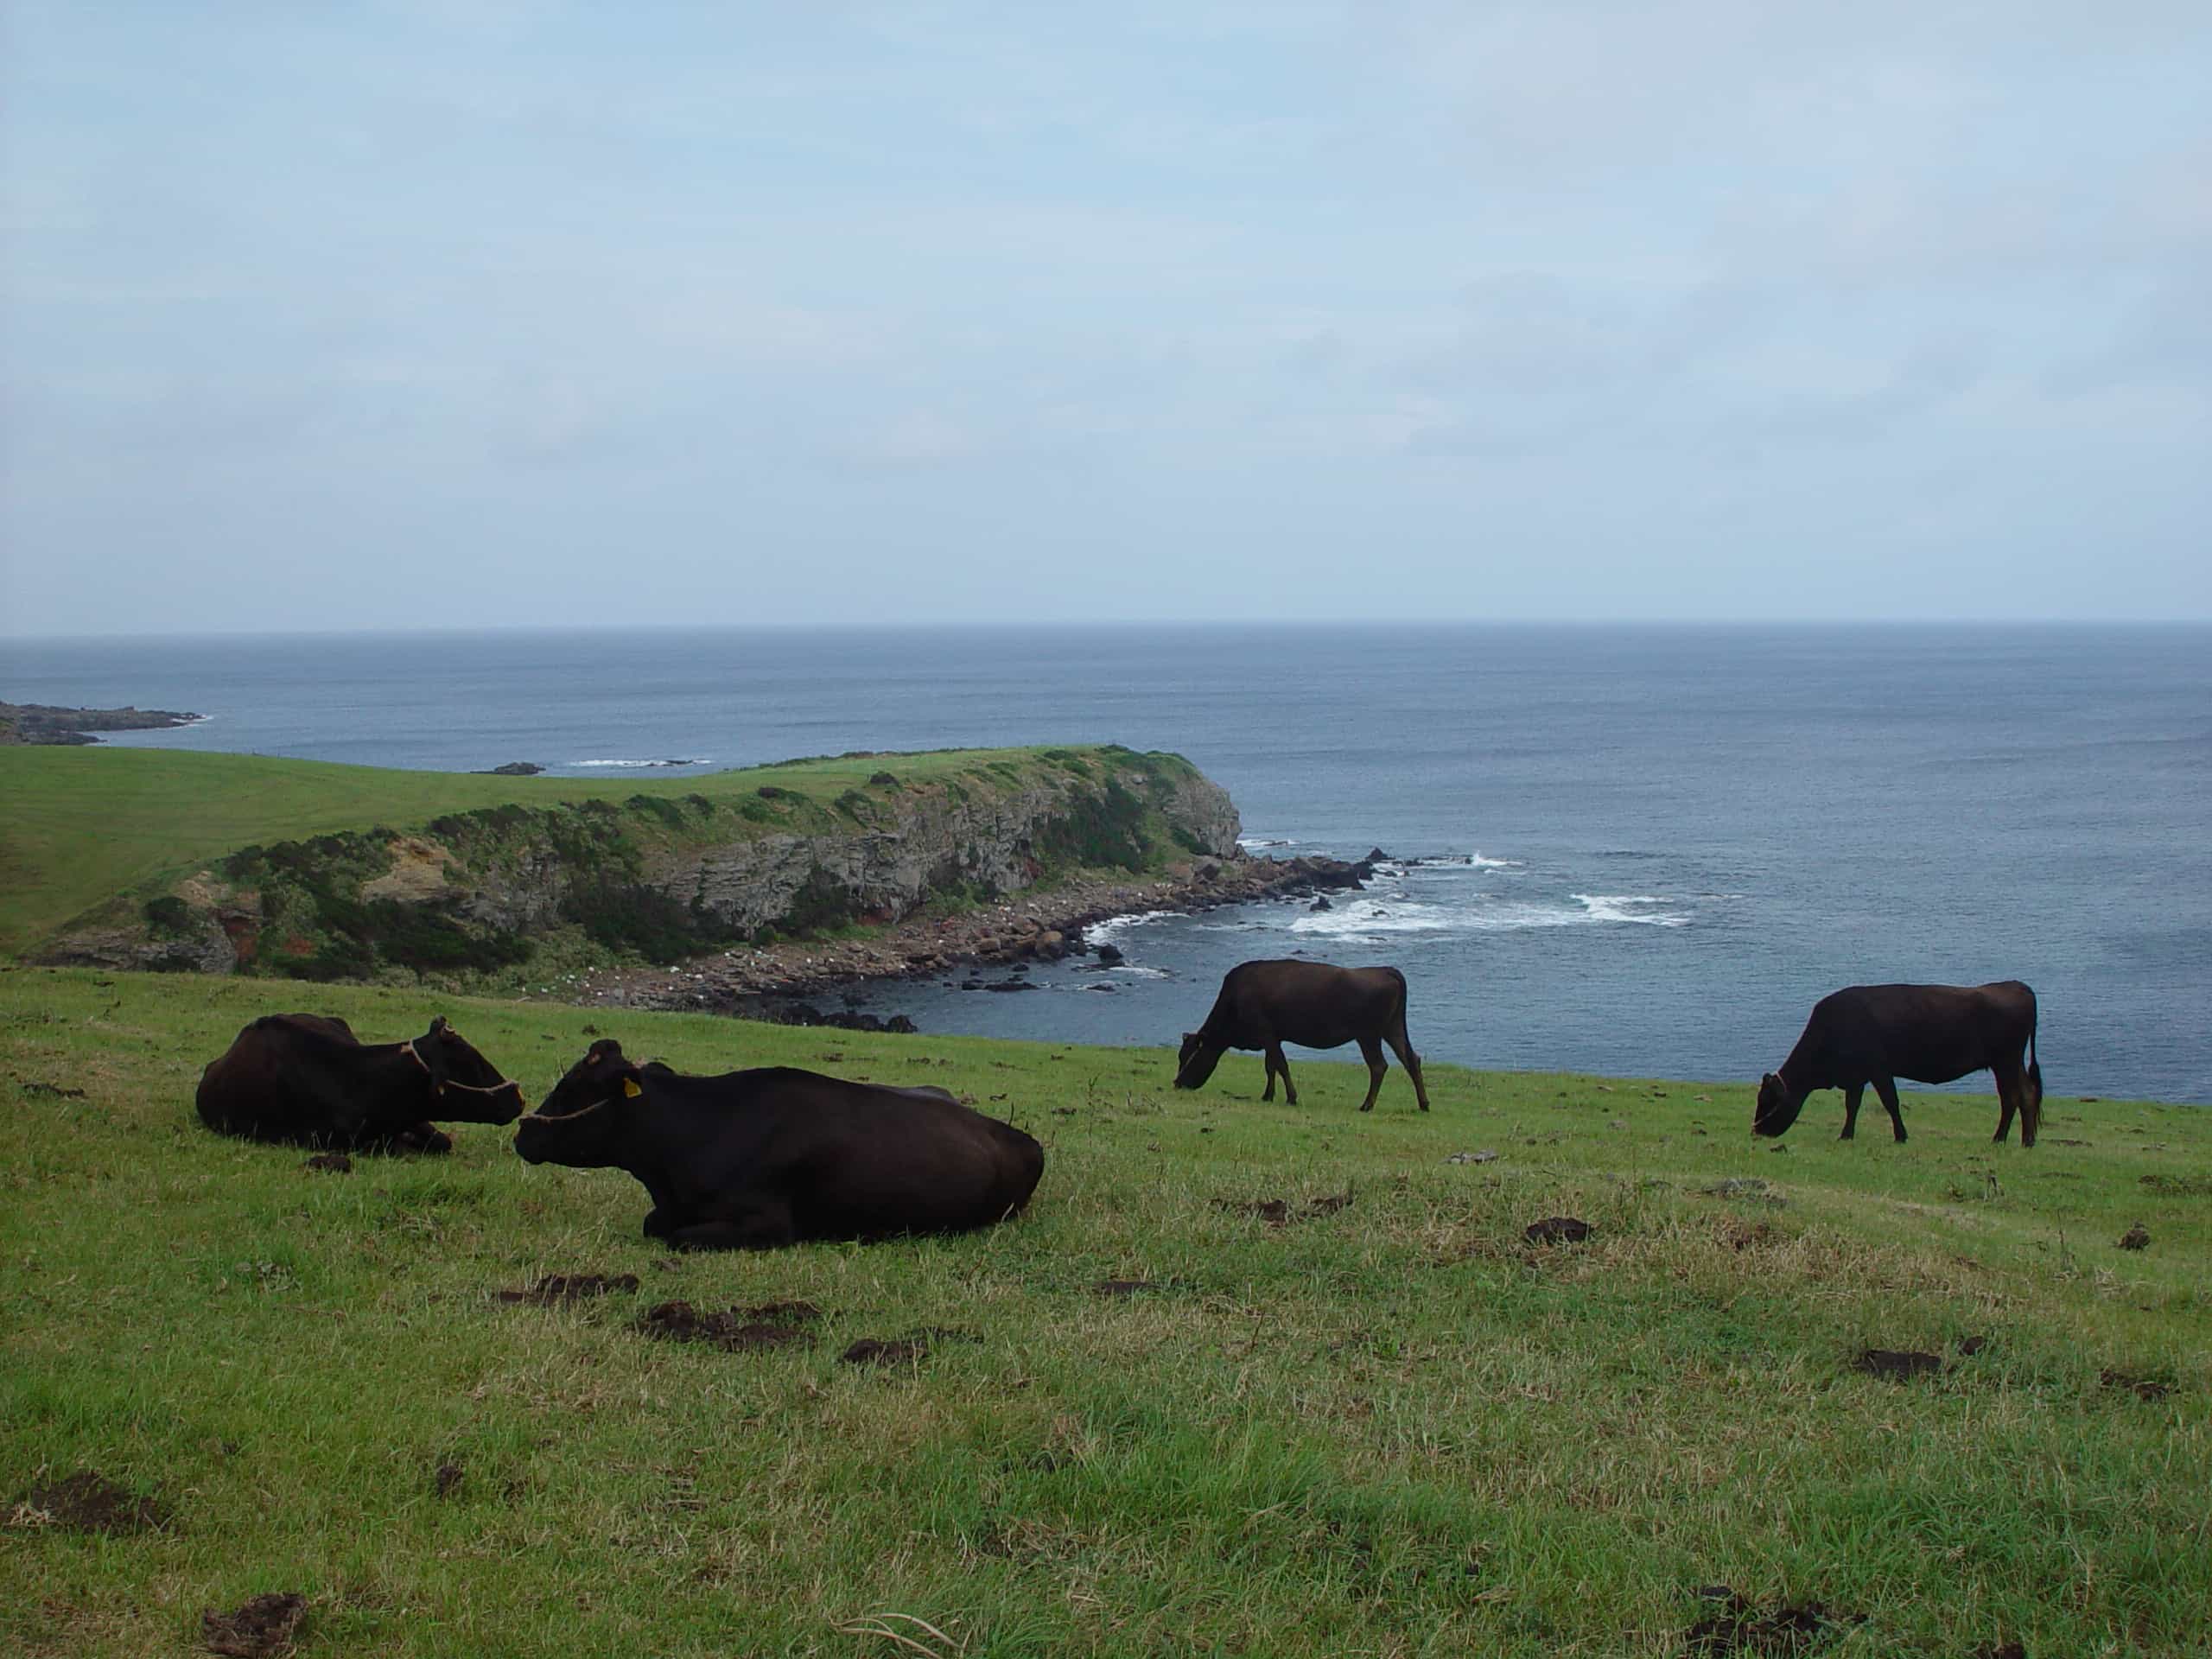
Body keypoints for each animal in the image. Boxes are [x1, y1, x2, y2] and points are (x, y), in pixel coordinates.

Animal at [512, 1044, 1048, 1256]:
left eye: (571, 1089)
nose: (521, 1133)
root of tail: (1022, 1137)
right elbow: (654, 1225)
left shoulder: (768, 1223)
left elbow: (678, 1237)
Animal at [1176, 960, 1433, 1119]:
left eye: (1189, 1057)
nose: (1177, 1083)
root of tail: (1384, 970)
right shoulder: (1273, 1038)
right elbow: (1270, 1066)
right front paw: (1268, 1096)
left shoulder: (1266, 1033)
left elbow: (1280, 1065)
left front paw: (1291, 1097)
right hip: (1393, 1029)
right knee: (1412, 1059)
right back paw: (1423, 1104)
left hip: (1368, 1034)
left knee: (1379, 1066)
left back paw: (1366, 1105)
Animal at [1751, 982, 2044, 1150]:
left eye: (1766, 1100)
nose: (1756, 1131)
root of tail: (2017, 986)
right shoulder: (1857, 1076)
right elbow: (1852, 1105)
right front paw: (1846, 1135)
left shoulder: (1878, 1069)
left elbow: (1890, 1101)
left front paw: (1901, 1136)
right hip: (2006, 1063)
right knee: (2019, 1095)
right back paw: (2016, 1140)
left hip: (2006, 1060)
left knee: (2017, 1096)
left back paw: (2012, 1140)